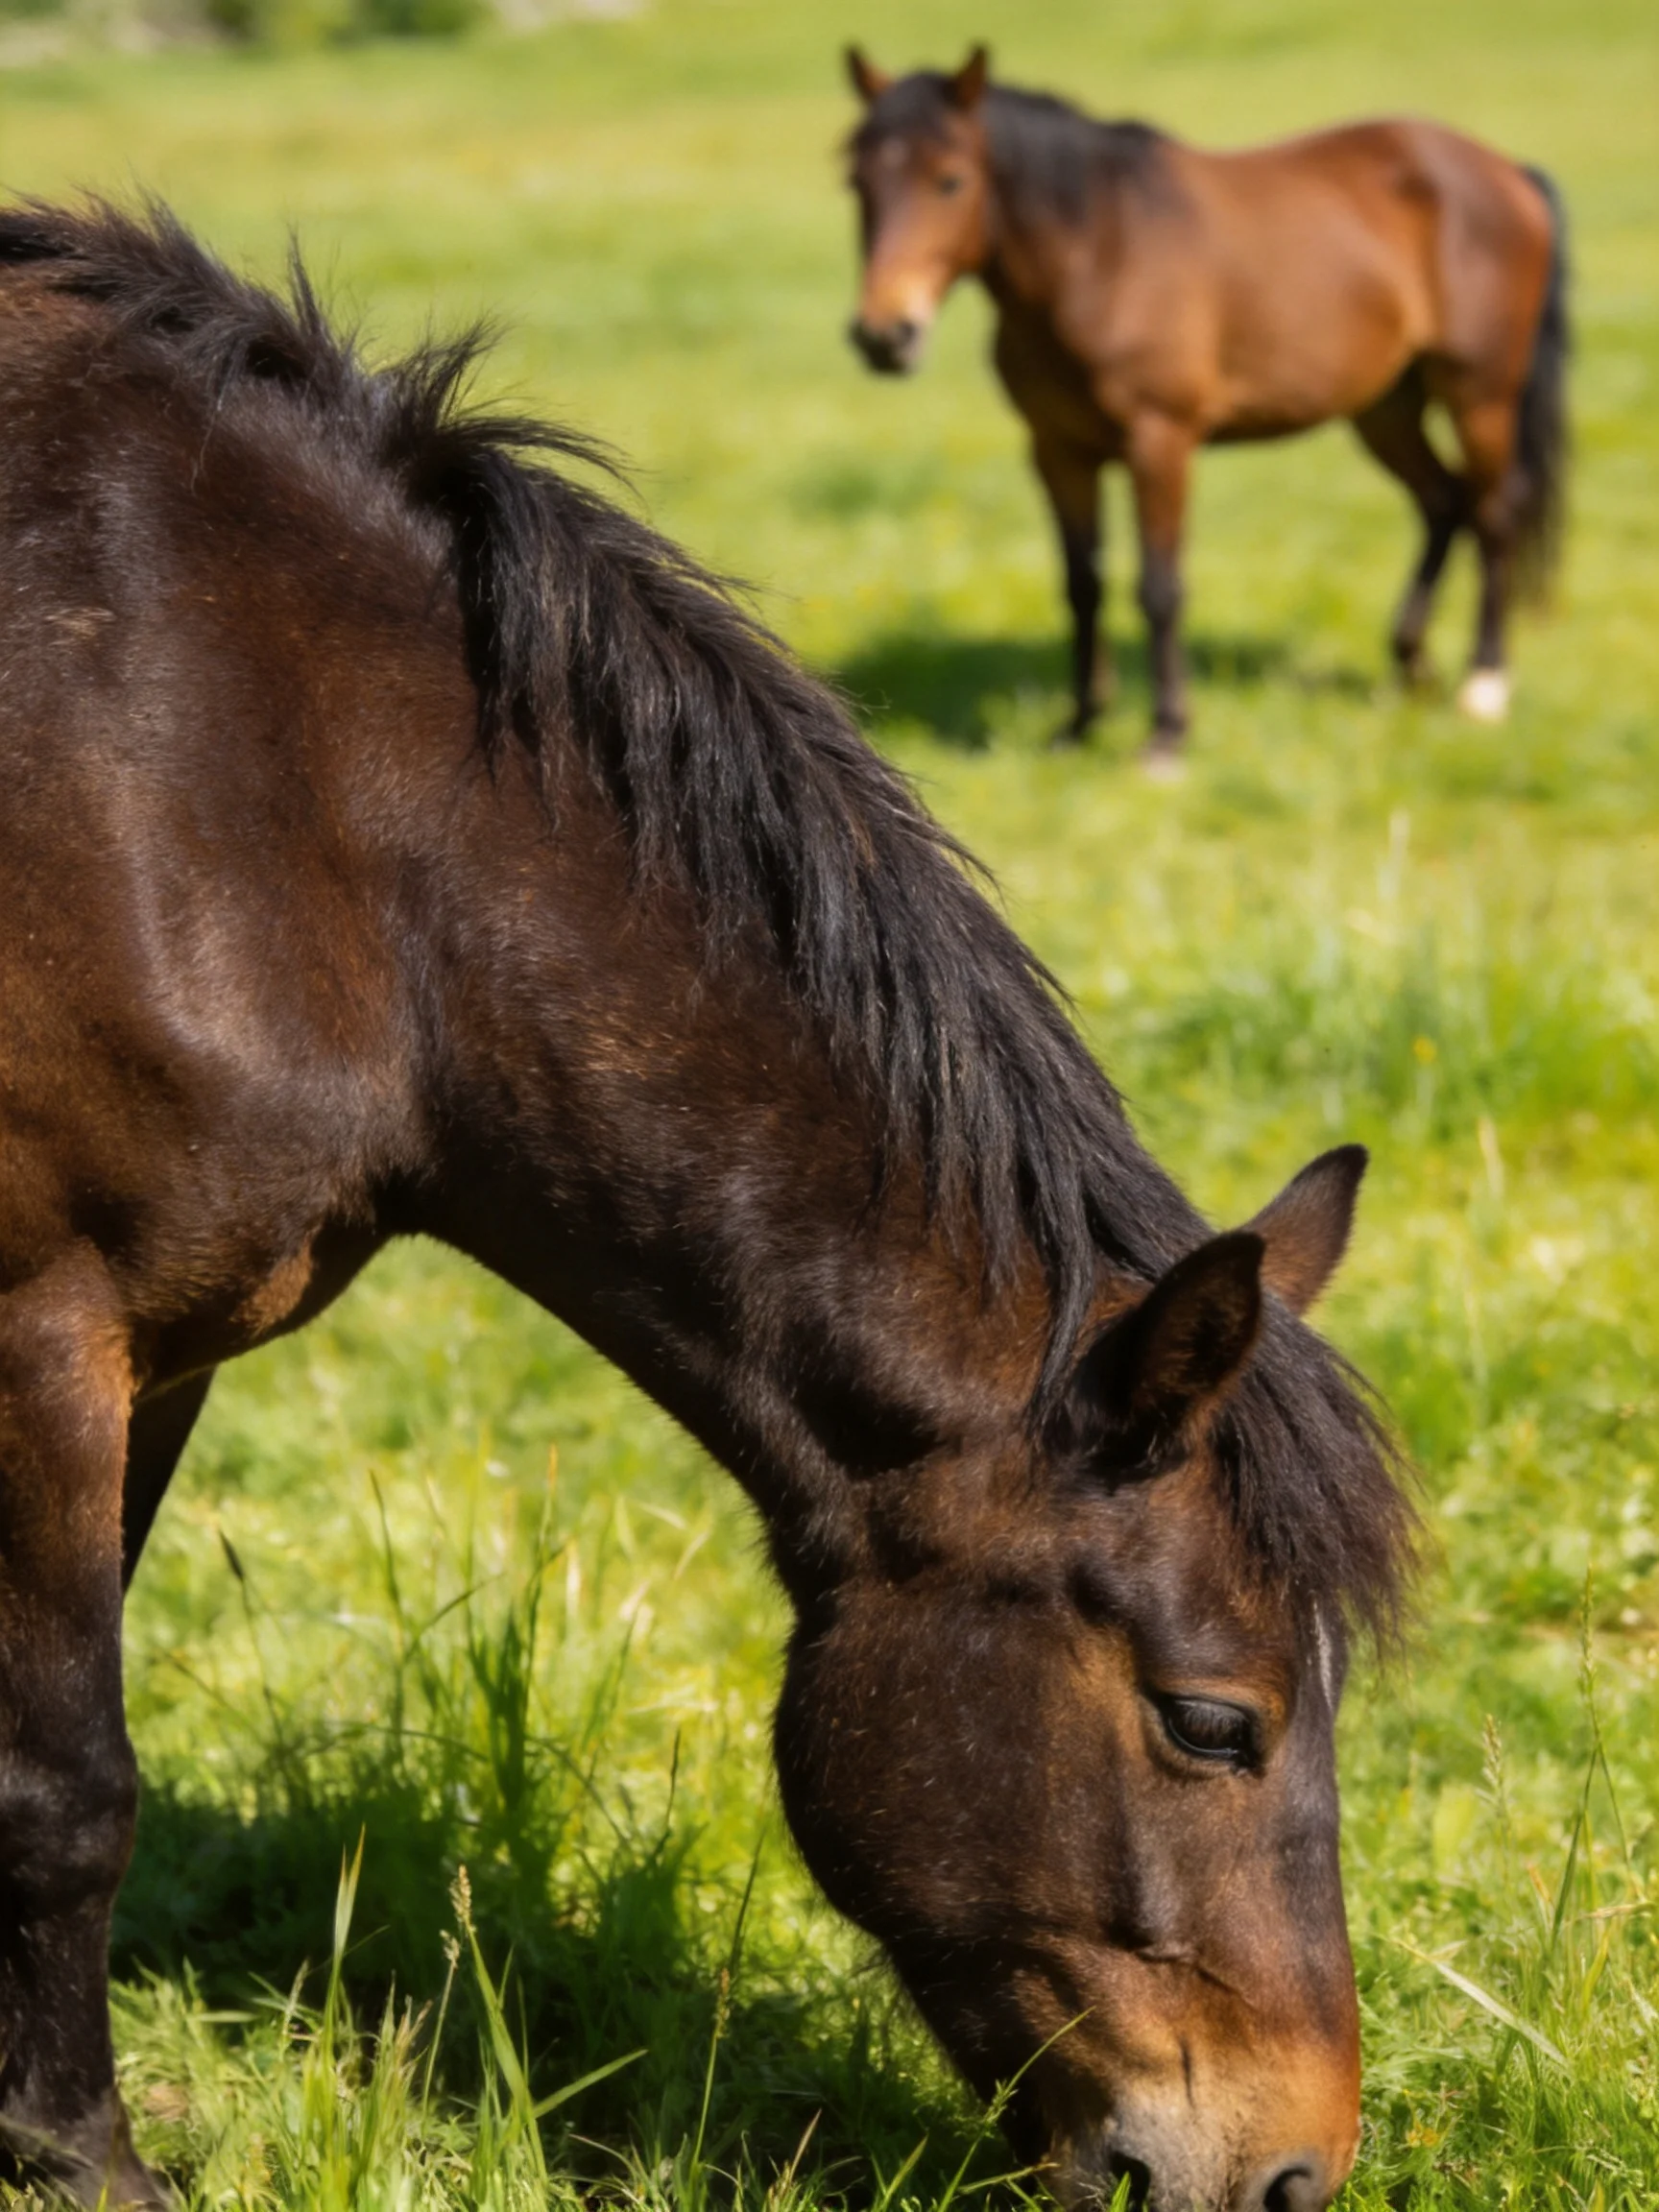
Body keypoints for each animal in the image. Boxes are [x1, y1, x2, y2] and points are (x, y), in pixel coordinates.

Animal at [0, 201, 1414, 2212]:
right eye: (1211, 1718)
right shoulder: (49, 1328)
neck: (265, 778)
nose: (1291, 2168)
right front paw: (79, 2152)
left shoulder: (163, 1351)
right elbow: (67, 1777)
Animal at [843, 47, 1568, 765]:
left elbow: (1159, 589)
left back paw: (1483, 687)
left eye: (951, 180)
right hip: (1385, 407)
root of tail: (1509, 173)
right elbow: (1082, 586)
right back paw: (1409, 668)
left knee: (1493, 512)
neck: (1100, 255)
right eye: (857, 183)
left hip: (1480, 394)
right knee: (1443, 502)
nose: (884, 336)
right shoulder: (1057, 449)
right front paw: (1079, 726)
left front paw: (1166, 735)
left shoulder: (1160, 440)